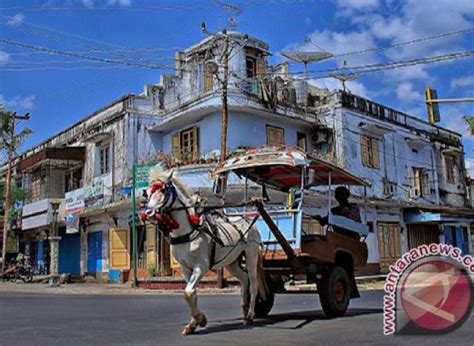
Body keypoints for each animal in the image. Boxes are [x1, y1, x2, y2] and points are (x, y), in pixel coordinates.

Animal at [141, 168, 266, 336]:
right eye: (147, 193)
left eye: (163, 190)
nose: (147, 213)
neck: (189, 230)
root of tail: (247, 220)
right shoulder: (185, 268)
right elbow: (191, 293)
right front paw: (193, 323)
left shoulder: (201, 266)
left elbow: (188, 292)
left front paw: (200, 319)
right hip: (232, 261)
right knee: (244, 279)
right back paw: (245, 310)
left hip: (251, 254)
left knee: (253, 283)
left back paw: (250, 315)